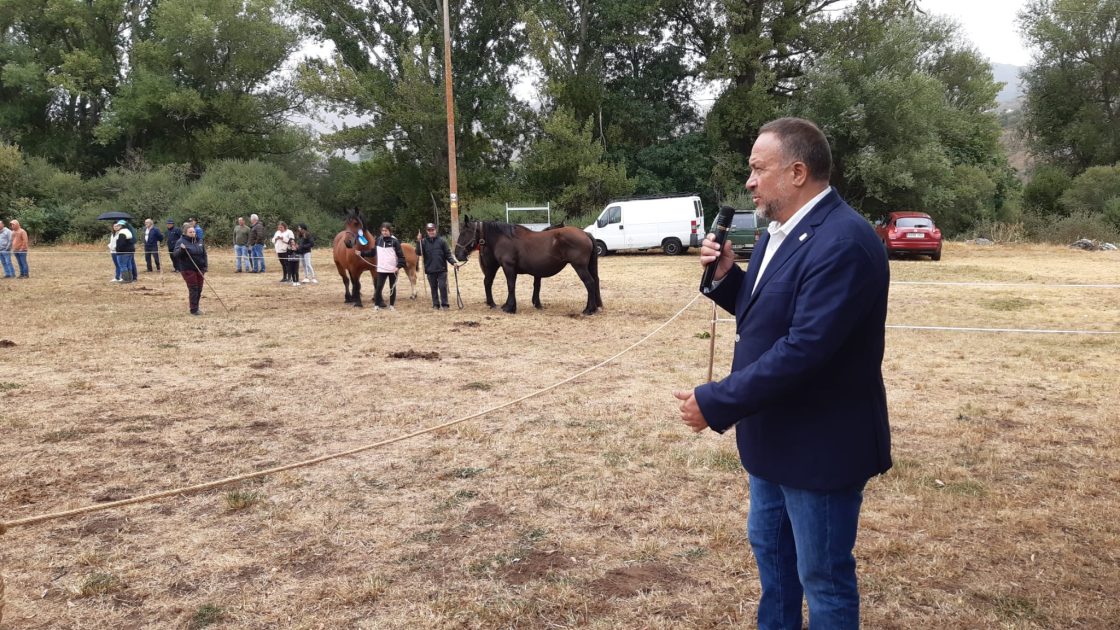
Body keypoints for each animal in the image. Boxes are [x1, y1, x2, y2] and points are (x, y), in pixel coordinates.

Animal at [452, 218, 604, 313]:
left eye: (464, 233)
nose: (458, 254)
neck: (504, 238)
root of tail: (585, 233)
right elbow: (530, 286)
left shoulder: (509, 267)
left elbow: (511, 285)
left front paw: (510, 307)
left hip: (580, 267)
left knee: (590, 283)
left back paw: (588, 310)